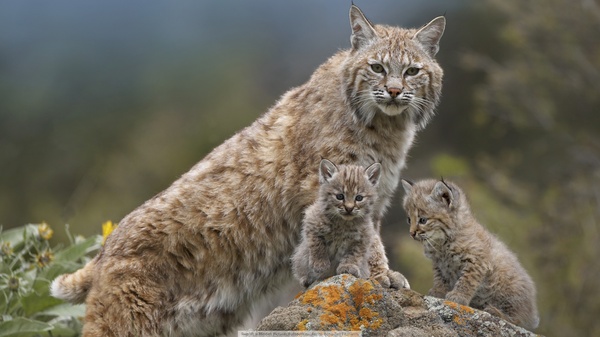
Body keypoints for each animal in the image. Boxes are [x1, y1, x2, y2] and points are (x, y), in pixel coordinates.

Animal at [292, 158, 382, 286]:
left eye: (359, 198)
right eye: (340, 196)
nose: (349, 208)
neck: (343, 222)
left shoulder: (363, 238)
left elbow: (354, 254)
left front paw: (348, 266)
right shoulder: (311, 221)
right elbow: (317, 244)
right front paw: (320, 264)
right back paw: (306, 278)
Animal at [404, 177, 540, 330]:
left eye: (423, 220)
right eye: (409, 219)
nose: (411, 233)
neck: (443, 242)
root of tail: (533, 312)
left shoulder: (477, 260)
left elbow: (467, 280)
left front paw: (459, 296)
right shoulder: (439, 263)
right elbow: (440, 278)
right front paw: (438, 291)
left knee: (520, 320)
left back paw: (496, 311)